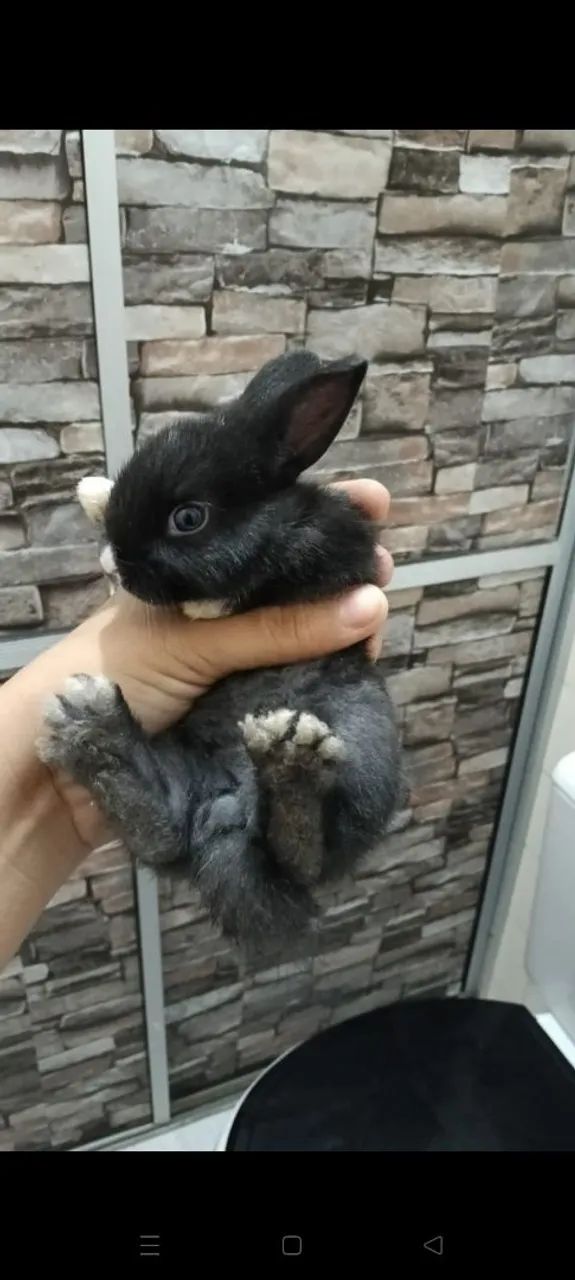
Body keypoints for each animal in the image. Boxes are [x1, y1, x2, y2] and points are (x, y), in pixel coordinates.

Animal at [38, 350, 403, 953]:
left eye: (188, 518)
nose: (115, 565)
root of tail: (228, 814)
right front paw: (93, 490)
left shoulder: (323, 553)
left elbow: (249, 582)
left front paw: (203, 607)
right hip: (180, 765)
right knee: (166, 833)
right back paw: (93, 727)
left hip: (365, 749)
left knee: (303, 856)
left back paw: (290, 760)